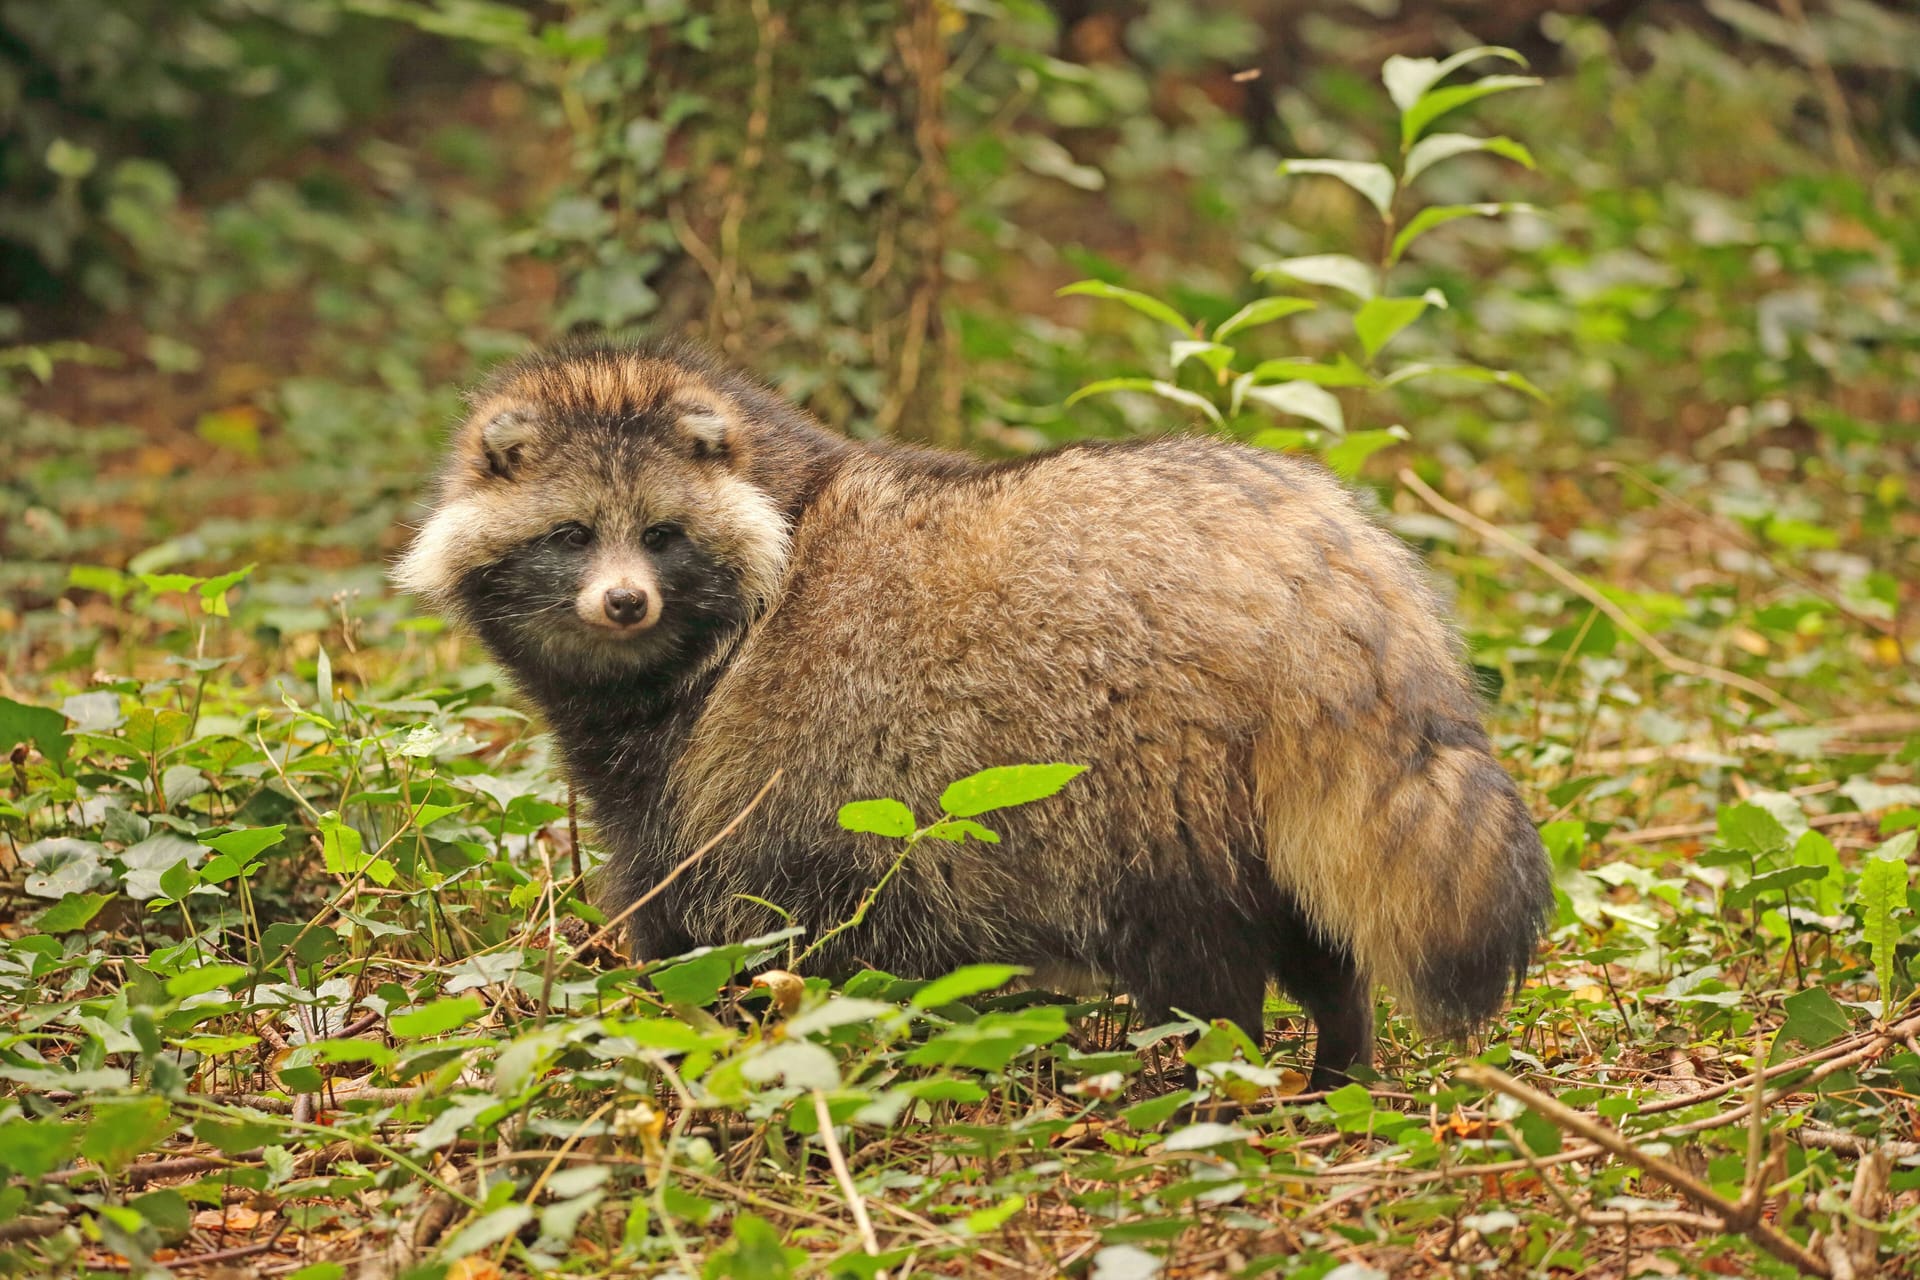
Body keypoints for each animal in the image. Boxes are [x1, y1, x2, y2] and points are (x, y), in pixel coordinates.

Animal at [397, 335, 1551, 1090]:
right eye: (573, 534)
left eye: (664, 535)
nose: (624, 601)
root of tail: (1323, 569)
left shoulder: (721, 759)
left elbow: (700, 903)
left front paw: (688, 1013)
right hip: (1263, 783)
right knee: (1315, 922)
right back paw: (1341, 1056)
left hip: (1151, 770)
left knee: (1199, 957)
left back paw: (1208, 1079)